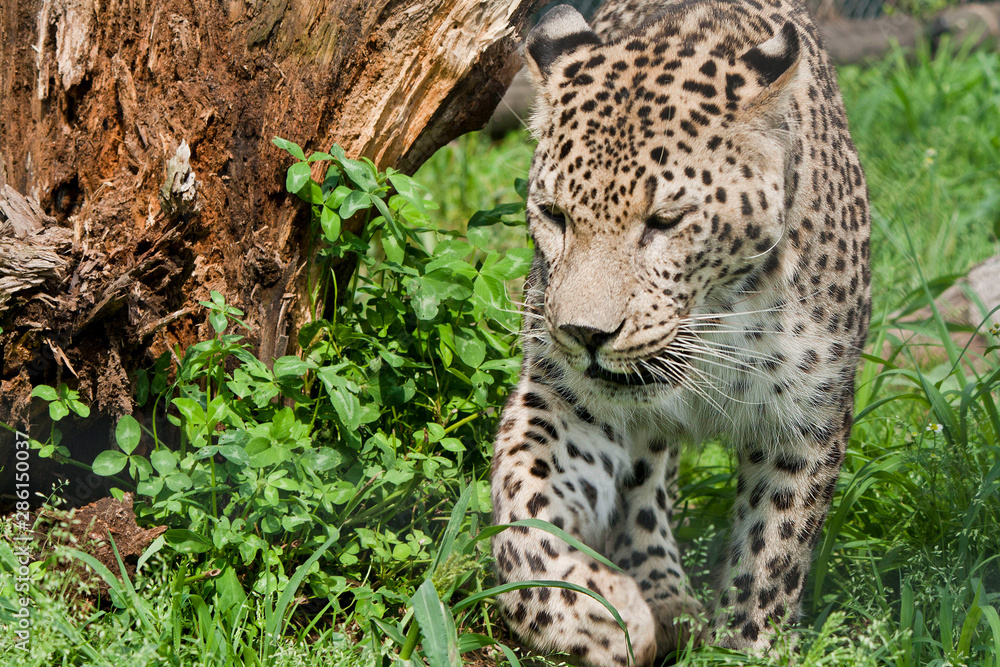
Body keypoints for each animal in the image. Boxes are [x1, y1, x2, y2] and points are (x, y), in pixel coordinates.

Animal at [489, 0, 871, 664]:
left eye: (665, 222)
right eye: (554, 215)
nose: (584, 333)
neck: (713, 325)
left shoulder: (807, 420)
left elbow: (772, 553)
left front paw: (745, 645)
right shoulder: (566, 399)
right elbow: (523, 506)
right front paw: (598, 614)